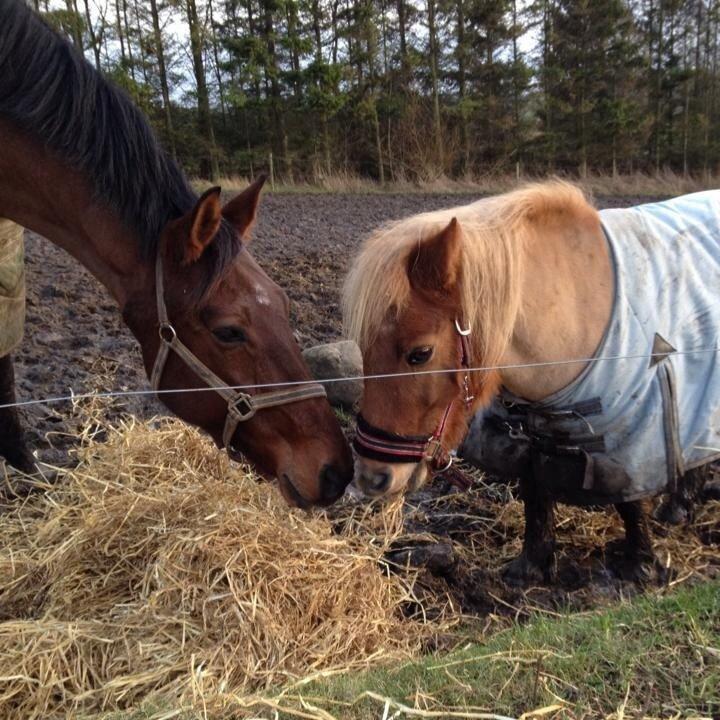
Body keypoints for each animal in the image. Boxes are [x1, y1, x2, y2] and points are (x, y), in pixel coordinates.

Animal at [344, 181, 720, 584]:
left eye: (420, 353)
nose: (371, 478)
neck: (573, 309)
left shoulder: (630, 438)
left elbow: (630, 501)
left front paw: (640, 564)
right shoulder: (531, 431)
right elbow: (535, 494)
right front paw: (532, 564)